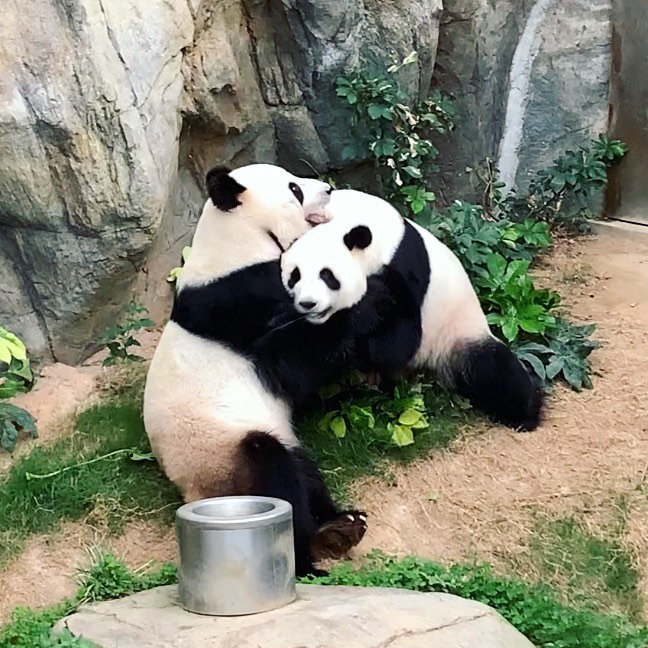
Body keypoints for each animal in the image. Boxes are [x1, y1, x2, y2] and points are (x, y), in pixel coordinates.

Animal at [143, 164, 368, 577]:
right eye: (295, 189)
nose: (328, 189)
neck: (238, 239)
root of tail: (191, 493)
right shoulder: (241, 300)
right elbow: (292, 361)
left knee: (304, 471)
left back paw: (340, 525)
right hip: (222, 453)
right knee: (274, 472)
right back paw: (309, 552)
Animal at [279, 189, 544, 431]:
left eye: (327, 276)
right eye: (295, 276)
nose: (308, 304)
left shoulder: (404, 268)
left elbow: (396, 344)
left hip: (457, 334)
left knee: (494, 371)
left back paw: (524, 415)